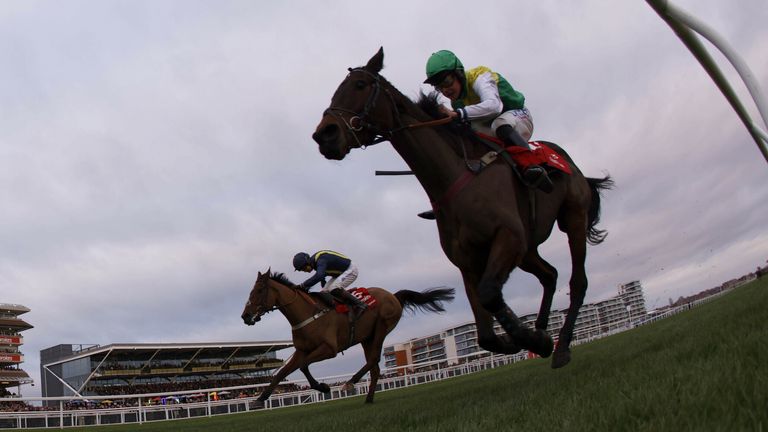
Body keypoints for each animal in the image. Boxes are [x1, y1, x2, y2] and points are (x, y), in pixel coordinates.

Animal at [243, 268, 452, 404]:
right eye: (250, 291)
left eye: (259, 290)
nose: (245, 316)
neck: (308, 313)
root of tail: (393, 295)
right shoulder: (301, 350)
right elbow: (281, 373)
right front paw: (260, 399)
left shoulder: (329, 349)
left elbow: (303, 366)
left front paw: (323, 387)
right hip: (367, 338)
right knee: (374, 367)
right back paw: (368, 398)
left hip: (382, 327)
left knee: (374, 359)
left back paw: (350, 382)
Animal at [310, 48, 612, 368]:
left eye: (359, 85)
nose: (324, 135)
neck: (455, 177)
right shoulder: (467, 261)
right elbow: (486, 335)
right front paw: (530, 339)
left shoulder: (508, 237)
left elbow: (490, 294)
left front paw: (532, 339)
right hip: (527, 250)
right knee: (550, 275)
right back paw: (543, 328)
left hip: (572, 218)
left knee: (577, 281)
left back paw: (562, 346)